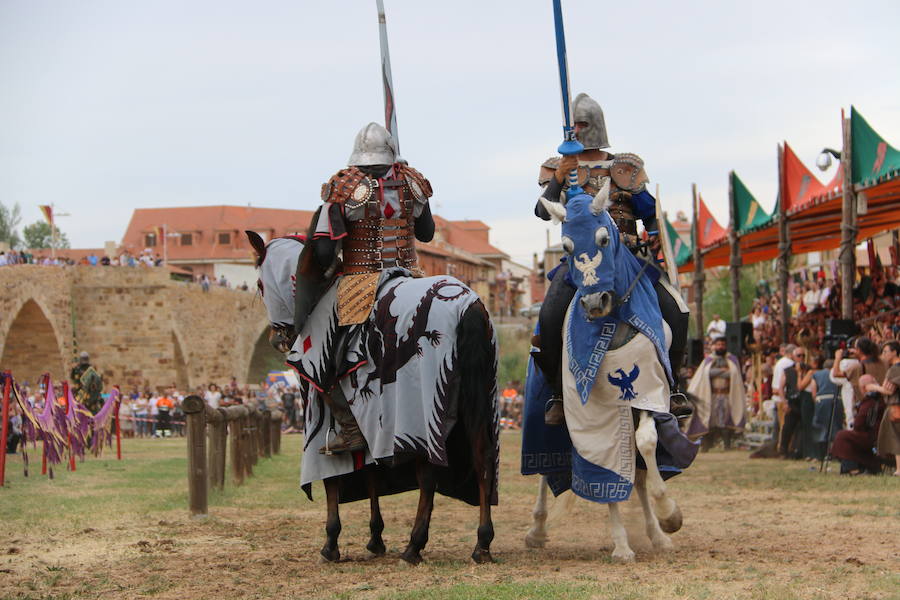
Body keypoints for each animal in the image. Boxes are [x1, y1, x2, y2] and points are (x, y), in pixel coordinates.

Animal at [246, 232, 500, 564]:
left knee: (428, 475)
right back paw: (482, 543)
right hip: (476, 401)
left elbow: (333, 480)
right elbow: (370, 473)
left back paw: (414, 545)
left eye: (260, 284)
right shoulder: (372, 428)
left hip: (422, 416)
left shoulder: (323, 421)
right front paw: (375, 537)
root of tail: (468, 307)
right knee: (482, 459)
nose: (277, 339)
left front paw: (331, 543)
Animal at [520, 179, 696, 564]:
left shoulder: (647, 392)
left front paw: (669, 516)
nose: (593, 303)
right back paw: (537, 529)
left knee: (640, 470)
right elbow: (604, 461)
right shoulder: (594, 410)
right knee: (544, 471)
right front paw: (621, 544)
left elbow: (646, 444)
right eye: (567, 246)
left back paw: (657, 535)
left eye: (603, 238)